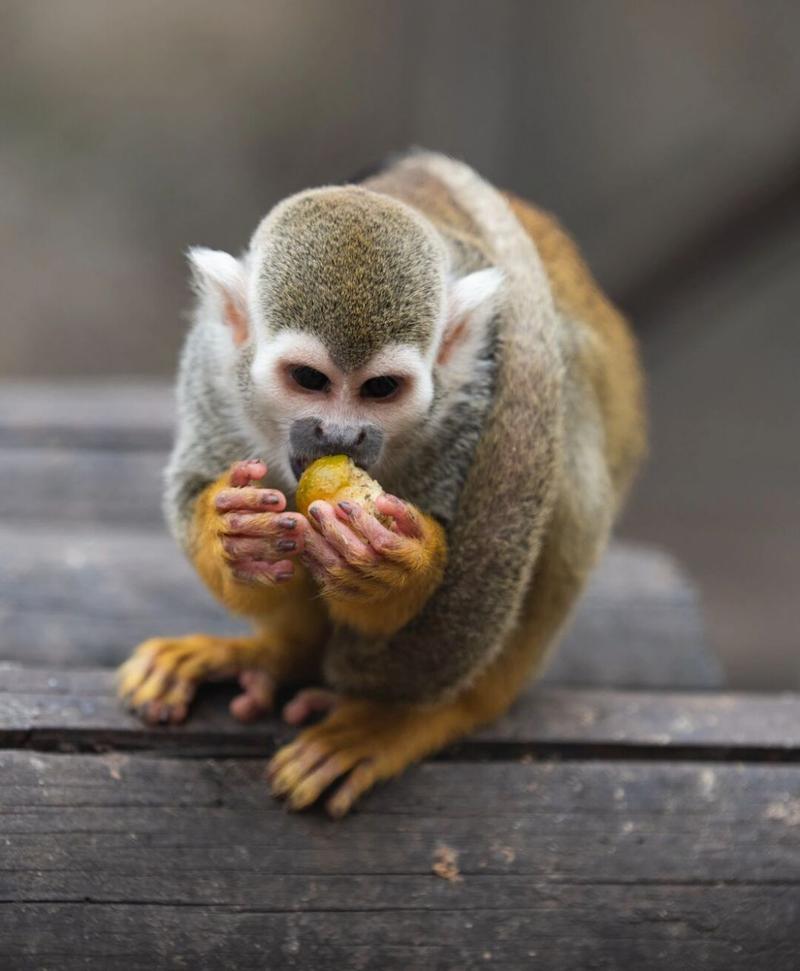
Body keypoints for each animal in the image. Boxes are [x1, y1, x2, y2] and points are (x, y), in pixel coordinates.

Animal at [117, 152, 644, 816]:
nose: (340, 434)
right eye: (309, 379)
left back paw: (421, 712)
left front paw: (393, 567)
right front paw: (225, 529)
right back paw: (282, 654)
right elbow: (195, 492)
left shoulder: (474, 389)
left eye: (381, 389)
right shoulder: (212, 365)